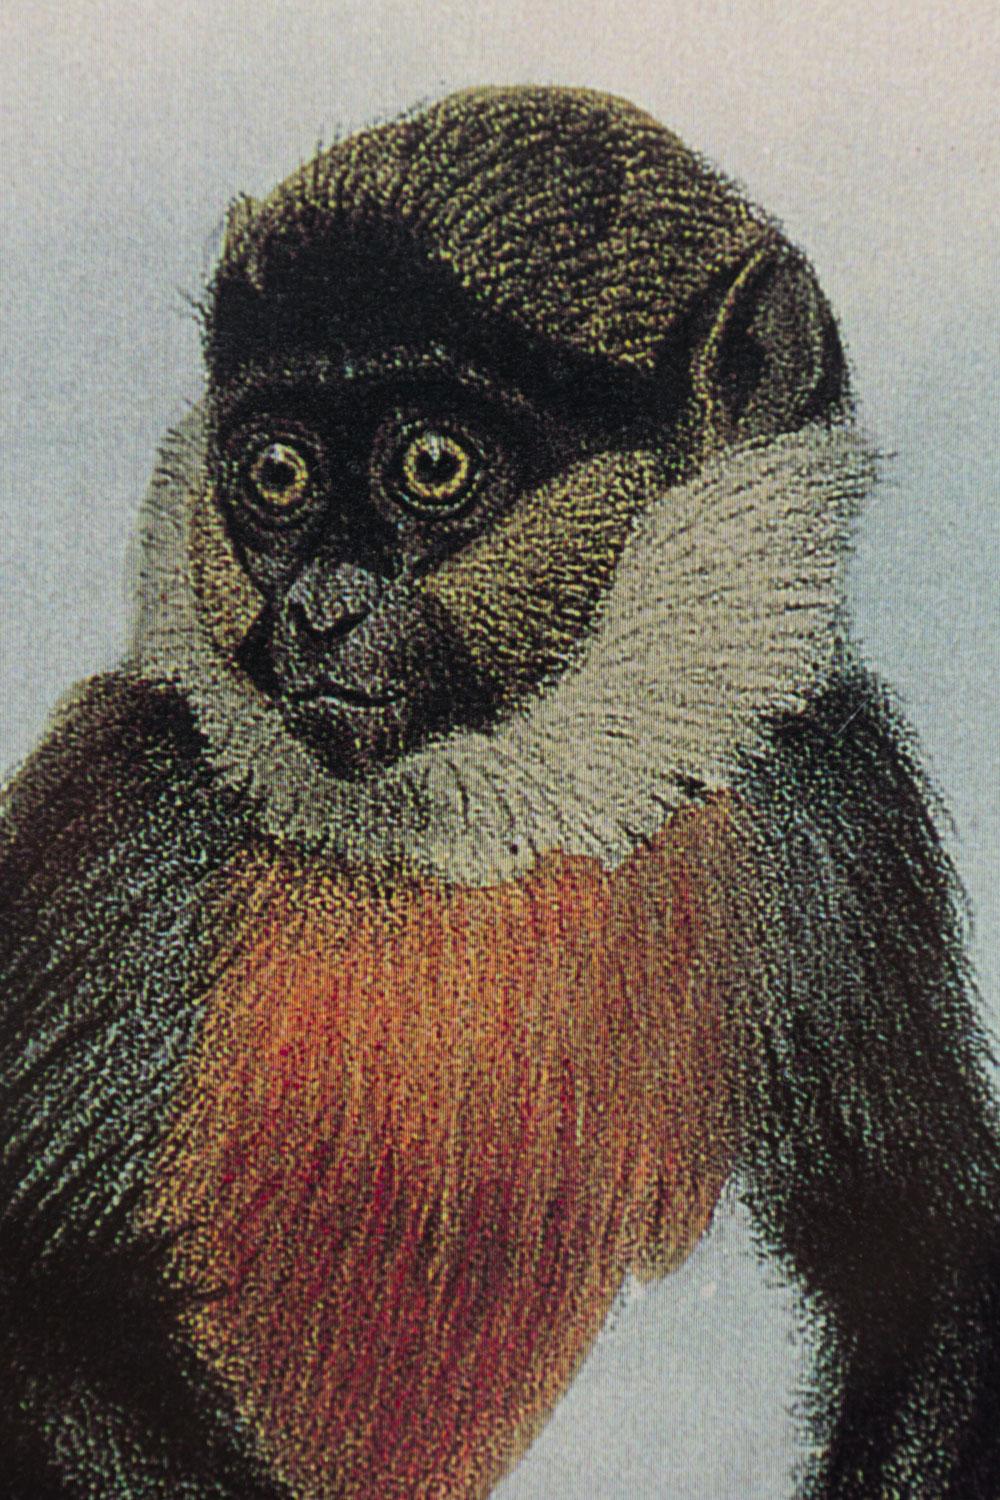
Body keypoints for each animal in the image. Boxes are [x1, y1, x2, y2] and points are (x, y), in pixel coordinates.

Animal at [2, 82, 999, 1499]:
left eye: (432, 465)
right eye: (276, 476)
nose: (319, 610)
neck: (480, 831)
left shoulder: (833, 788)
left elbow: (920, 1245)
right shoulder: (122, 816)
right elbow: (46, 1297)